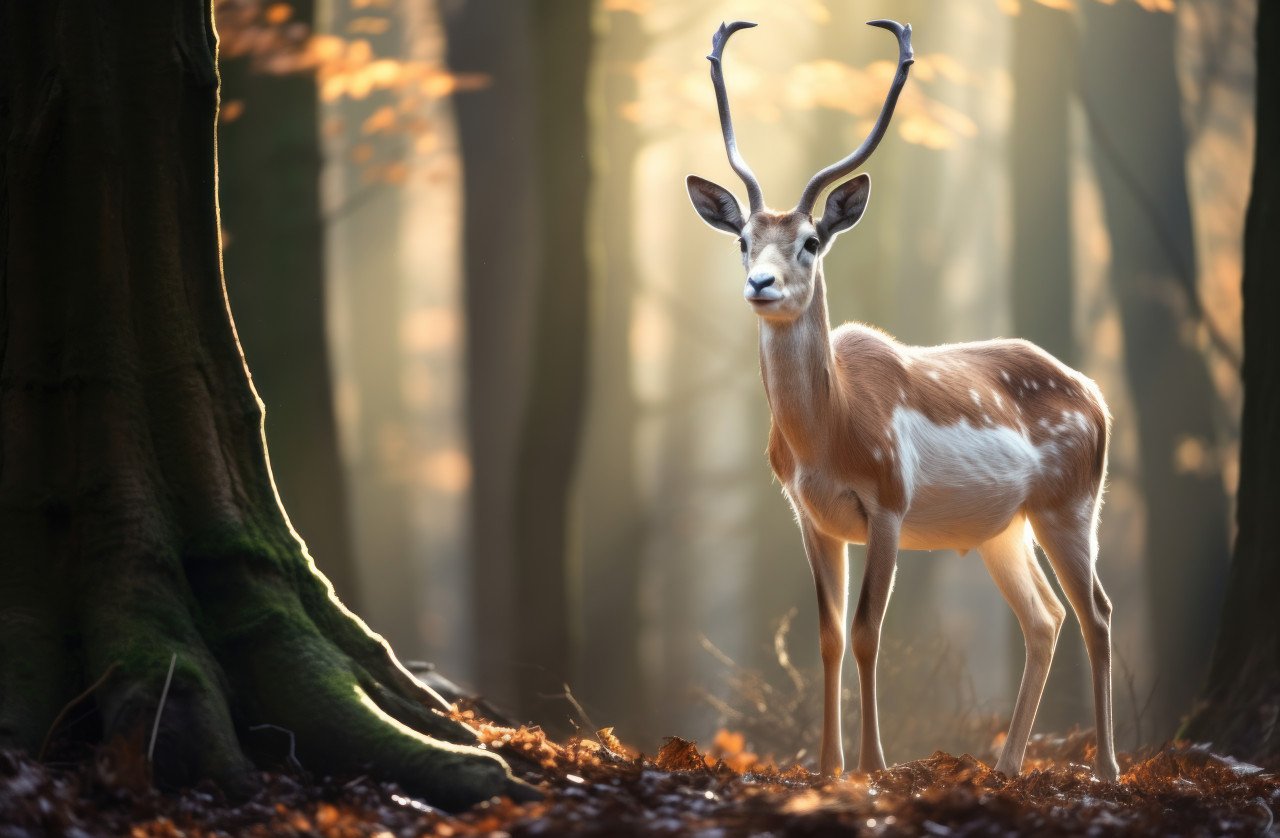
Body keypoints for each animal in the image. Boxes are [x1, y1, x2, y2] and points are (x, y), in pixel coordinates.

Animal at [686, 20, 1119, 782]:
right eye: (742, 239)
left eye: (810, 241)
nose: (761, 284)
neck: (829, 435)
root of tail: (1097, 395)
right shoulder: (809, 514)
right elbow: (827, 635)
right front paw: (826, 767)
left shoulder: (887, 500)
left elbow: (867, 631)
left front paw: (874, 765)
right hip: (1004, 529)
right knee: (1045, 617)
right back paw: (1007, 766)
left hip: (1069, 504)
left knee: (1096, 611)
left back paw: (1108, 771)